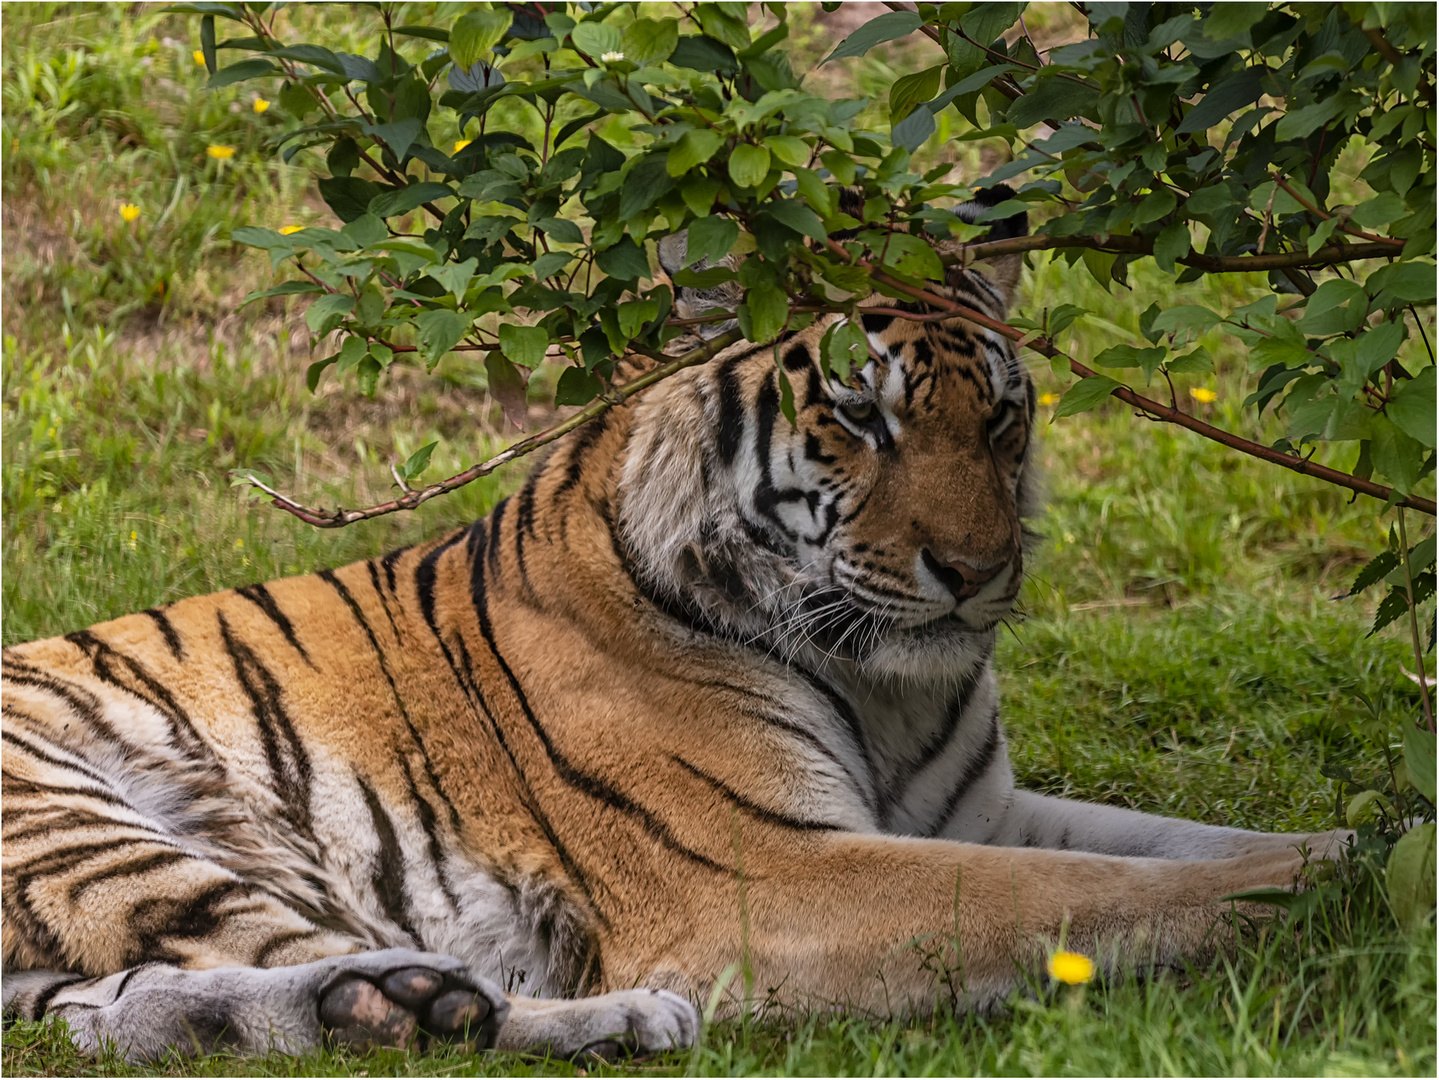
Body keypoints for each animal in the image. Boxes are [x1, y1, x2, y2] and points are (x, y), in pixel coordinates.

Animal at [2, 188, 1346, 1064]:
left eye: (999, 420)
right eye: (862, 418)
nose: (974, 571)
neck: (887, 684)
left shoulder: (976, 811)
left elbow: (1167, 844)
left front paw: (1348, 839)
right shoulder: (767, 869)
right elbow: (1088, 895)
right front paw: (1338, 892)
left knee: (131, 1009)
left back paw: (401, 1009)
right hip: (84, 817)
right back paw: (577, 1015)